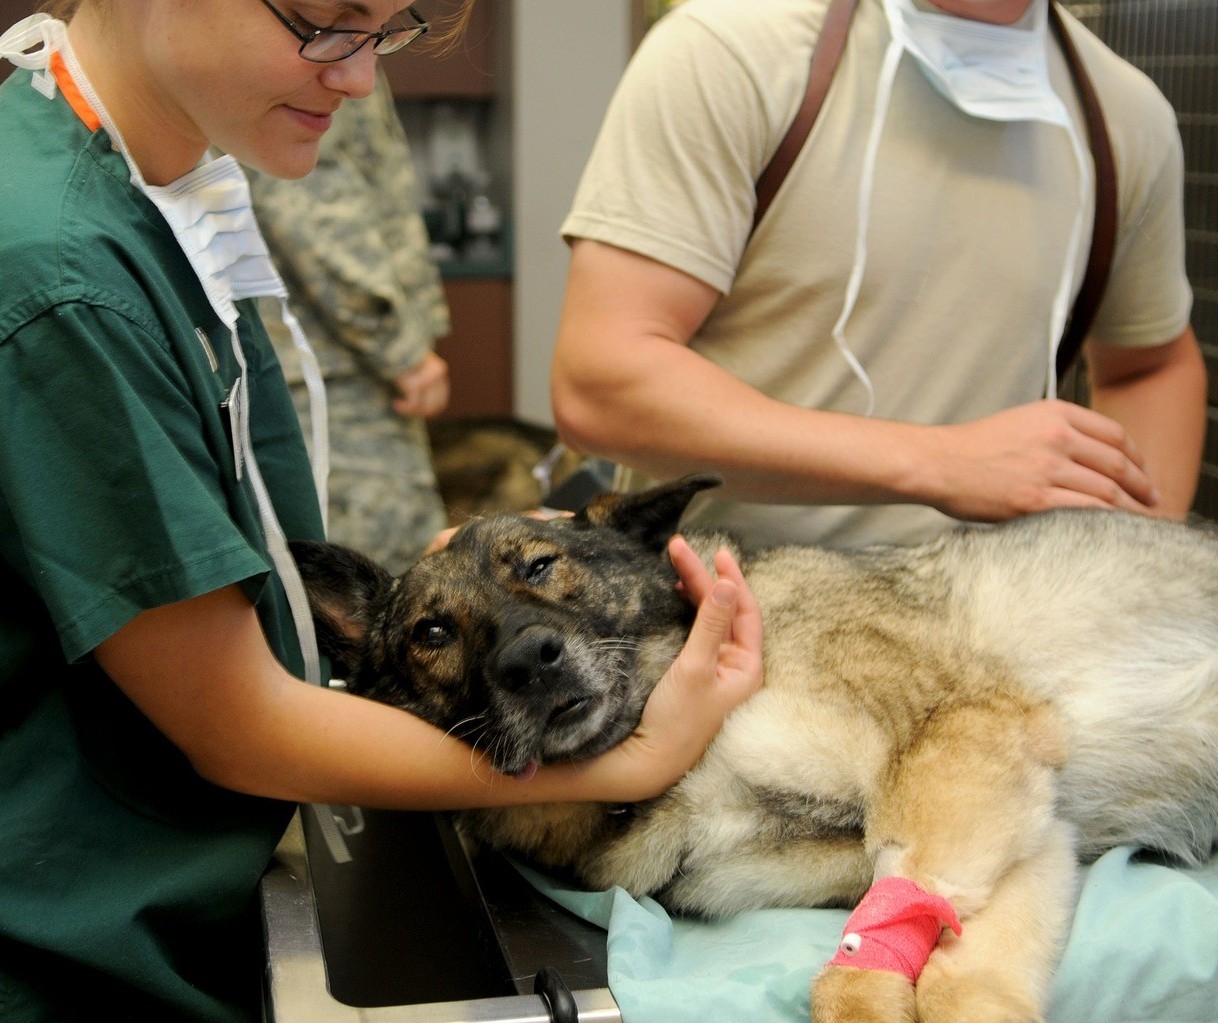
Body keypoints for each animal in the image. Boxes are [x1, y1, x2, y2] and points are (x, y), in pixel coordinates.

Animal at [292, 479, 1218, 1023]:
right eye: (432, 633)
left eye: (542, 564)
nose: (529, 660)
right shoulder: (1021, 828)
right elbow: (954, 964)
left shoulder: (964, 741)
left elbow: (891, 957)